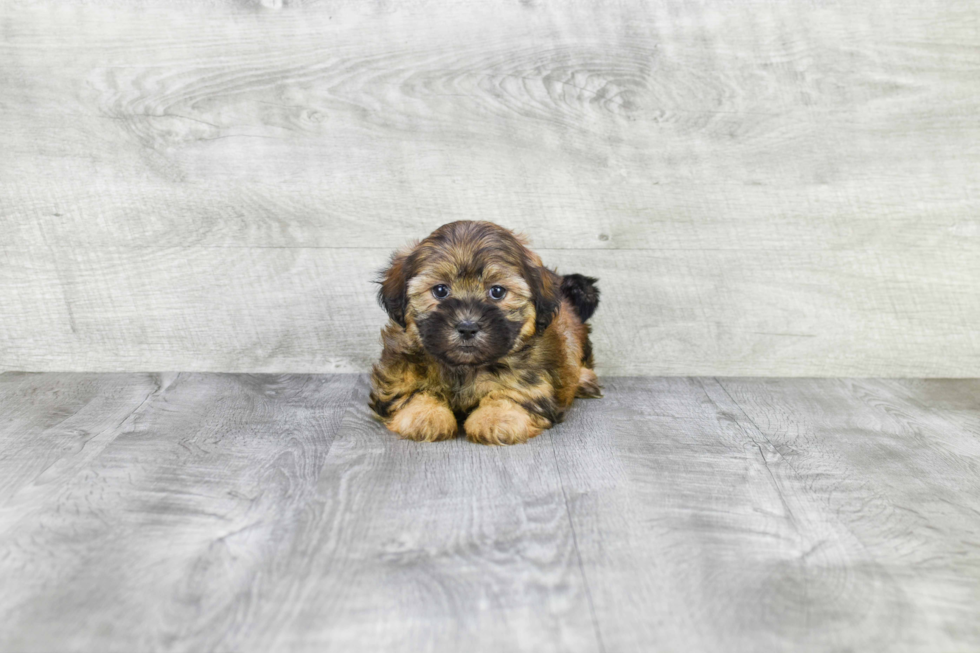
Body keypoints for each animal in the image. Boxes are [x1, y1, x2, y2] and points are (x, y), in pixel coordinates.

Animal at [368, 219, 596, 444]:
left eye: (497, 291)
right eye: (440, 290)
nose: (468, 328)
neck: (465, 368)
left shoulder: (533, 380)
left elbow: (512, 394)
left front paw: (496, 418)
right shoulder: (397, 376)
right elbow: (411, 393)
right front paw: (425, 415)